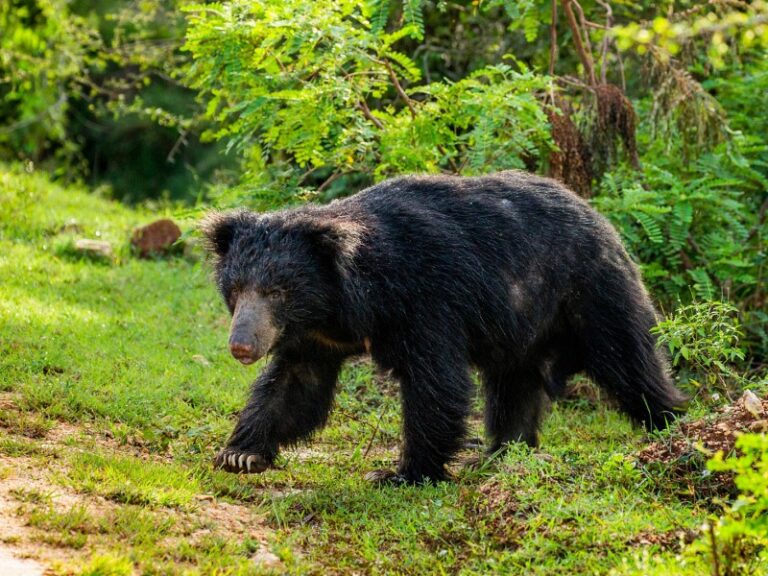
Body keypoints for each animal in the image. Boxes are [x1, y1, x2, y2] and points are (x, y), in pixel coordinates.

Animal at [202, 172, 684, 486]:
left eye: (277, 292)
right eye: (237, 289)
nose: (241, 347)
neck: (343, 302)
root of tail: (601, 218)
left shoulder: (427, 300)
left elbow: (435, 382)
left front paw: (401, 474)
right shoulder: (313, 337)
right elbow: (295, 386)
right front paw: (240, 454)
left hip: (589, 293)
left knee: (629, 363)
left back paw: (673, 426)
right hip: (520, 326)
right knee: (514, 389)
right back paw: (501, 453)